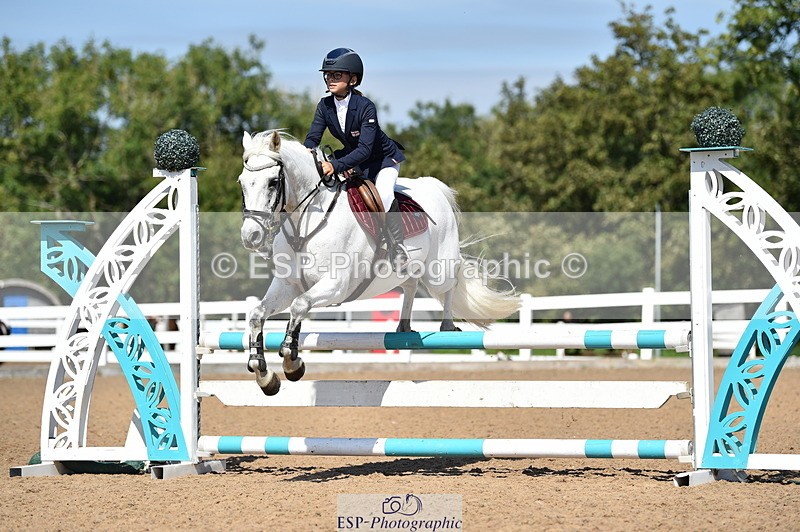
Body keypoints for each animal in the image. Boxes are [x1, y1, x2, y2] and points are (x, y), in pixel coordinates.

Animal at [239, 130, 519, 395]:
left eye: (273, 182)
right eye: (242, 183)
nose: (250, 237)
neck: (304, 224)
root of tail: (433, 187)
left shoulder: (336, 286)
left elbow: (299, 306)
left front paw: (291, 363)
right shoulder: (288, 285)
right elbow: (257, 314)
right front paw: (263, 374)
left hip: (439, 269)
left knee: (449, 285)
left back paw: (447, 326)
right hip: (409, 270)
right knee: (410, 285)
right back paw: (403, 327)